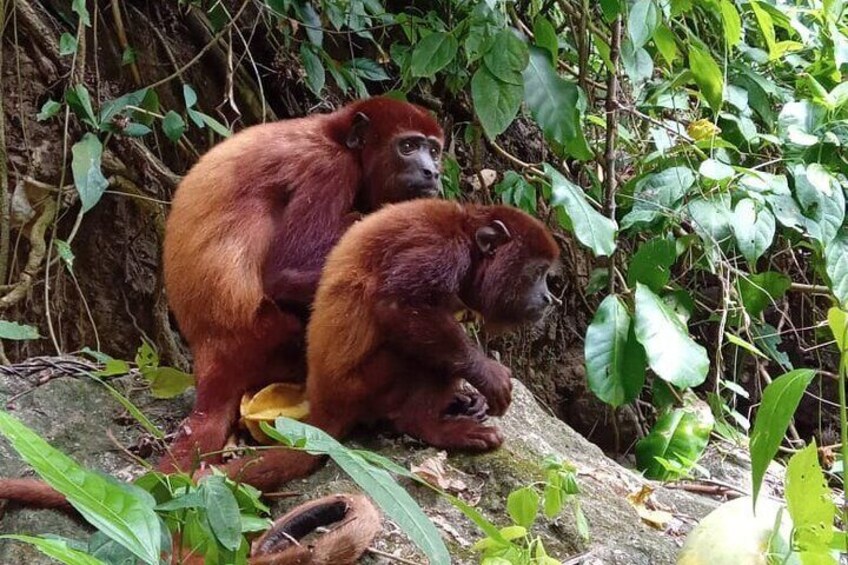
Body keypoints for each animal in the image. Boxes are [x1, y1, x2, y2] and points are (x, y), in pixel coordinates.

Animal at [161, 97, 448, 472]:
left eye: (434, 150)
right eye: (409, 147)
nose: (433, 171)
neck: (336, 136)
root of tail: (210, 353)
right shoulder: (328, 170)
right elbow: (284, 274)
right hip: (268, 336)